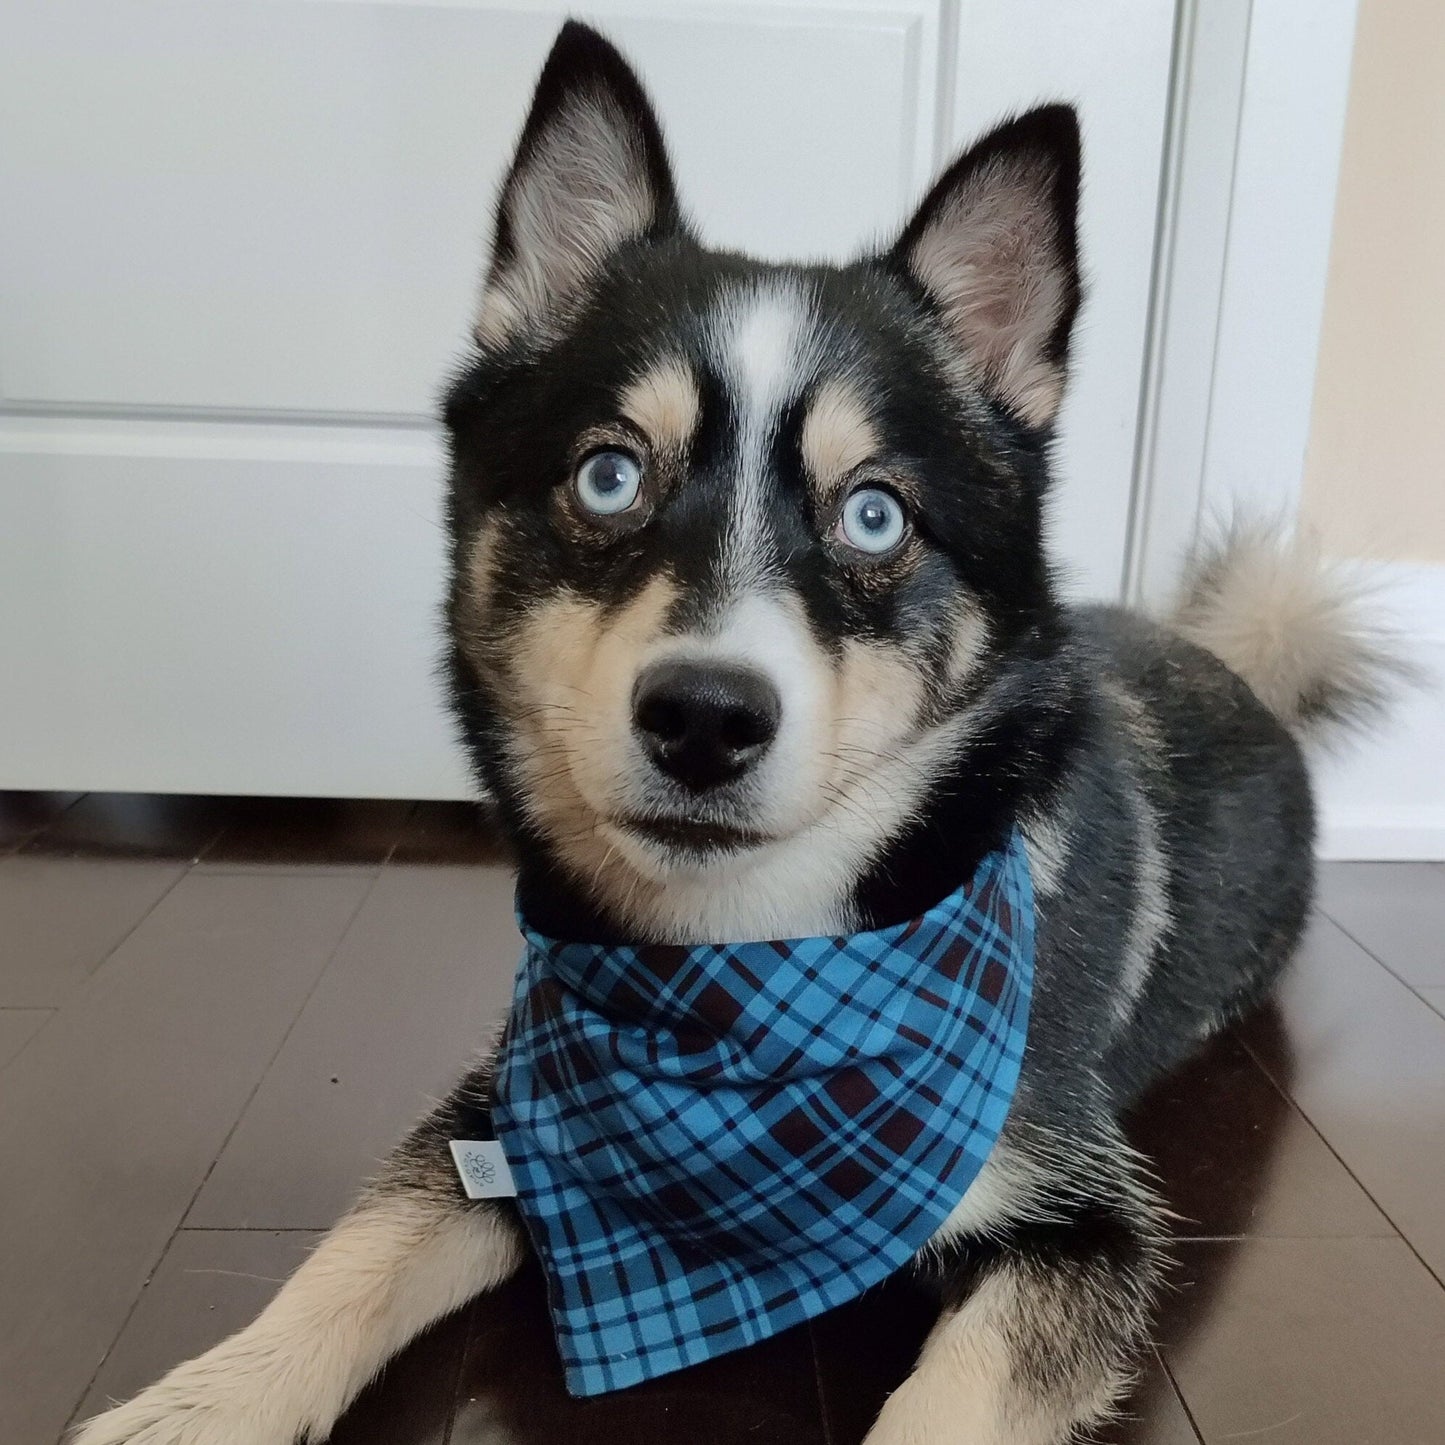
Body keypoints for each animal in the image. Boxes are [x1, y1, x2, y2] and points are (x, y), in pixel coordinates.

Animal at [76, 22, 1387, 1445]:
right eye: (606, 474)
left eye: (874, 513)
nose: (704, 717)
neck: (746, 967)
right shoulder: (500, 1109)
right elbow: (360, 1242)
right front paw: (202, 1399)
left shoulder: (1078, 1216)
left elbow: (953, 1395)